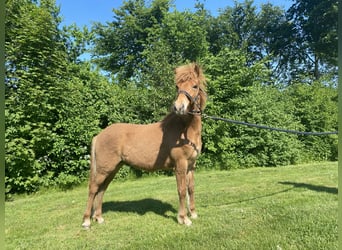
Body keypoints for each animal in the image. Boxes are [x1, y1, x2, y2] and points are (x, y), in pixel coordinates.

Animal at [81, 63, 207, 229]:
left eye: (195, 86)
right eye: (177, 86)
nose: (179, 107)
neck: (184, 130)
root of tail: (99, 136)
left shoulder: (191, 165)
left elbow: (190, 189)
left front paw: (193, 213)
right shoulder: (180, 164)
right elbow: (181, 190)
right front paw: (183, 218)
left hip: (113, 169)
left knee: (102, 189)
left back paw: (99, 218)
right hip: (104, 169)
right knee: (93, 189)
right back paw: (87, 221)